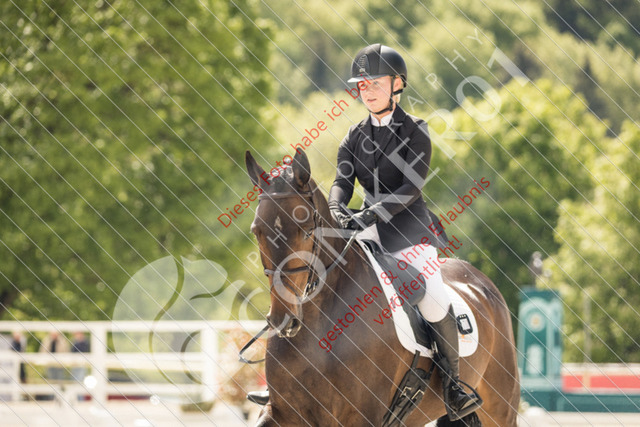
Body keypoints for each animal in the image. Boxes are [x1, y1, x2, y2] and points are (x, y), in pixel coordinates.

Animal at [245, 149, 519, 426]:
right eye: (257, 231)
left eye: (309, 231)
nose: (283, 320)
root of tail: (480, 282)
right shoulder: (282, 413)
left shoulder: (364, 415)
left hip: (500, 409)